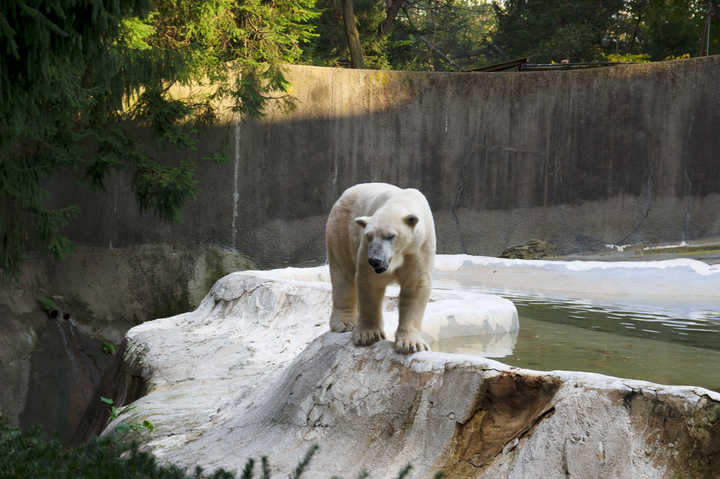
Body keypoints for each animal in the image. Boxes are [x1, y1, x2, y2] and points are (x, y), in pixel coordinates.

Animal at [324, 182, 436, 354]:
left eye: (391, 236)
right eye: (369, 236)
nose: (375, 261)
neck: (402, 200)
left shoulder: (419, 248)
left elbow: (415, 284)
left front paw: (411, 344)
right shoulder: (365, 247)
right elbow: (370, 283)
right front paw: (368, 335)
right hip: (340, 231)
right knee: (343, 276)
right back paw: (345, 323)